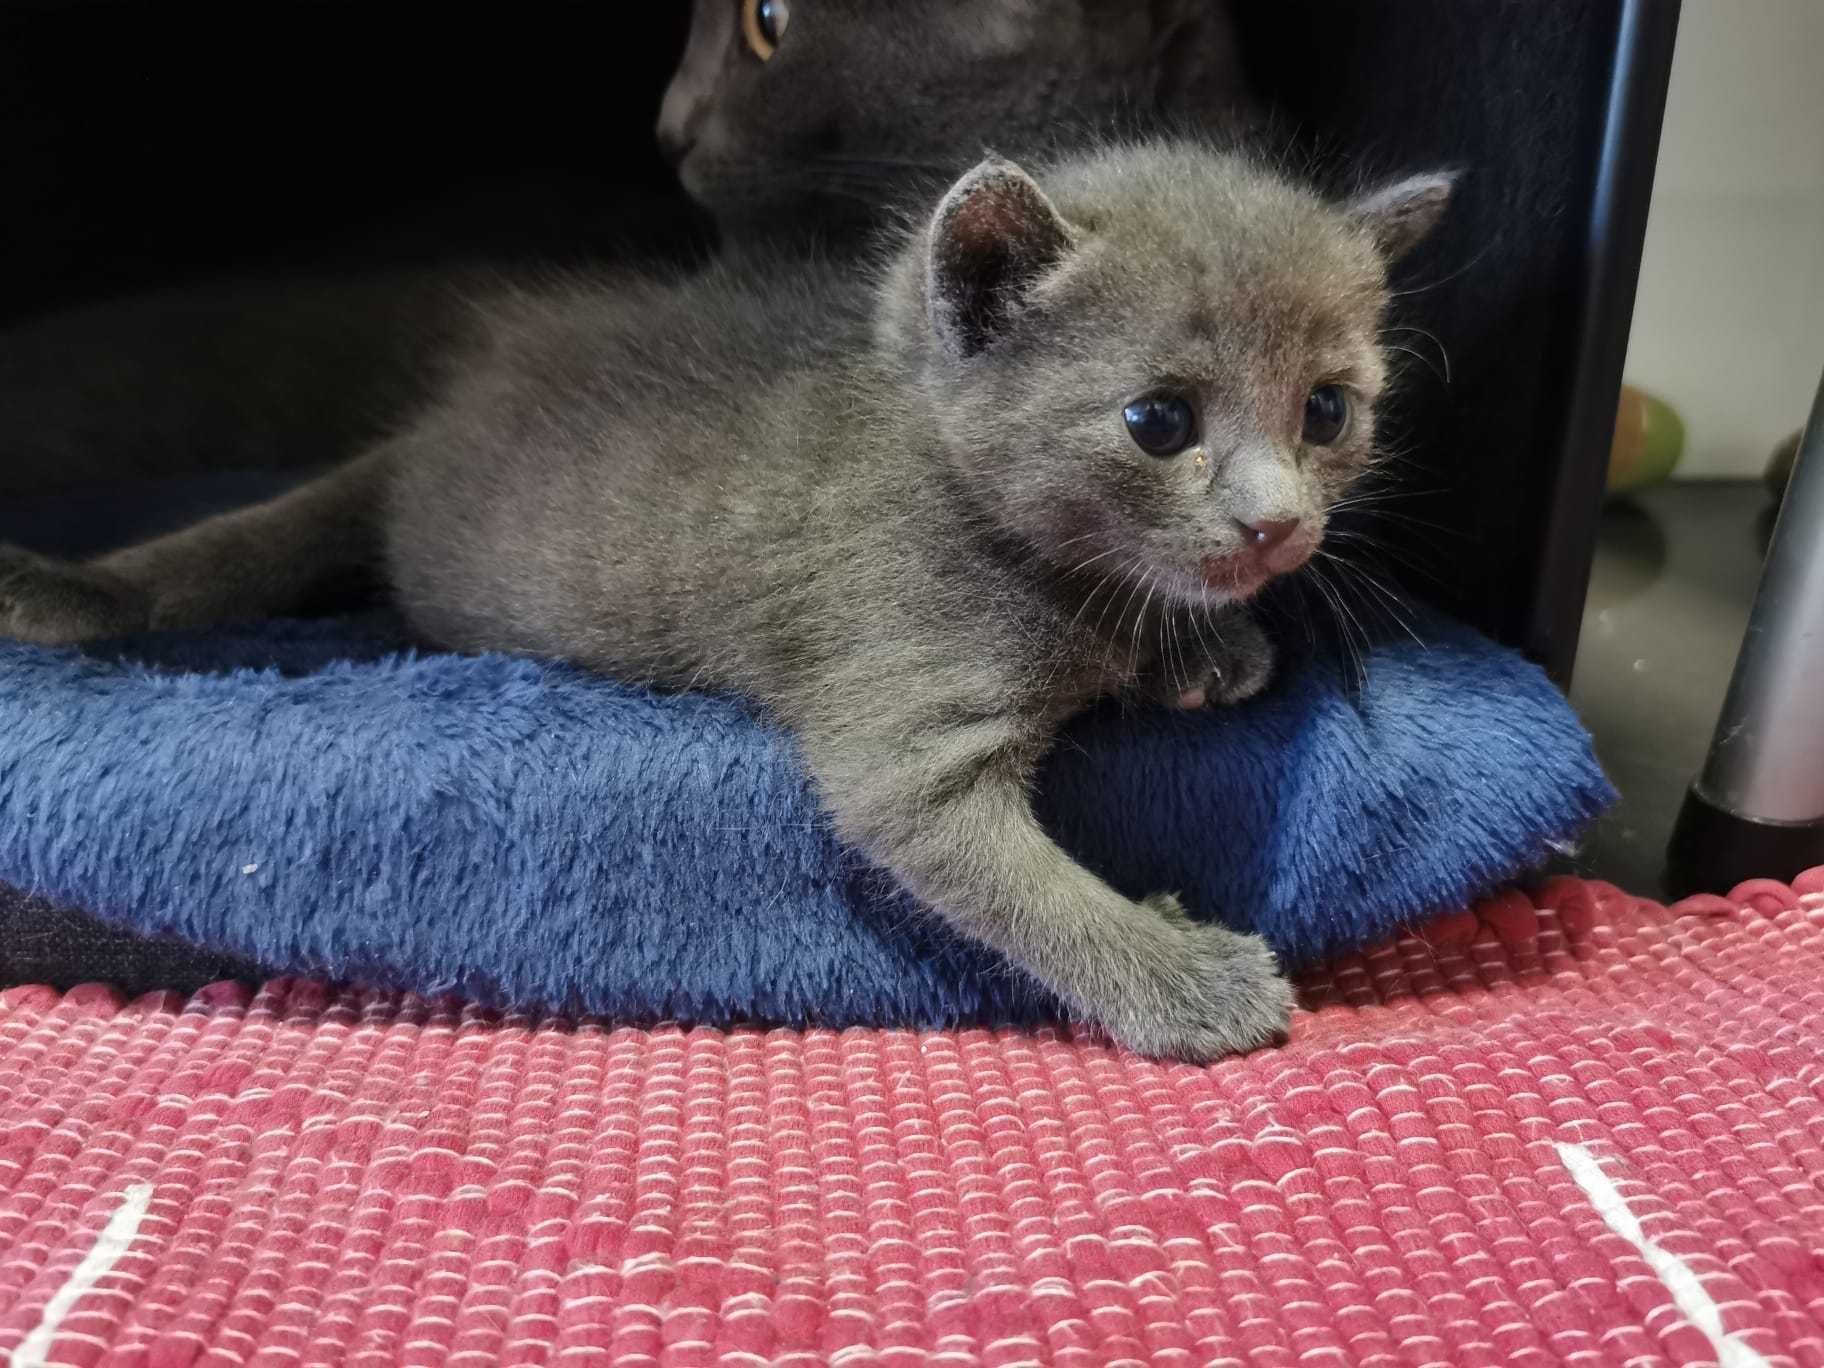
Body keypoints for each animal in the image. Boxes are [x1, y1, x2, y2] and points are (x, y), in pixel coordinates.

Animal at [0, 142, 1451, 1057]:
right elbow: (1018, 886)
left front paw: (1202, 644)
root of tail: (436, 428)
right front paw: (1183, 983)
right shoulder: (900, 718)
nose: (1276, 524)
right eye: (1159, 422)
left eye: (1327, 412)